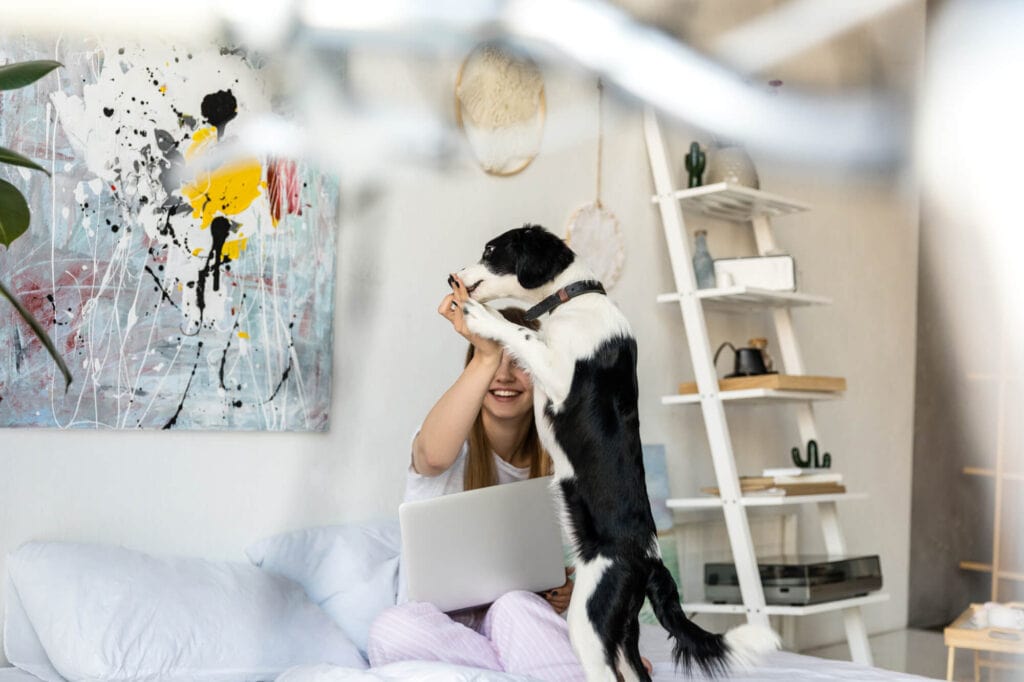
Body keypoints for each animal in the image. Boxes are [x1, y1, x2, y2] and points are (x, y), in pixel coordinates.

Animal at [456, 224, 774, 679]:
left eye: (490, 251)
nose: (456, 275)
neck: (575, 298)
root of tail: (651, 562)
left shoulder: (558, 377)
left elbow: (522, 334)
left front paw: (482, 317)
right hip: (621, 633)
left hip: (589, 619)